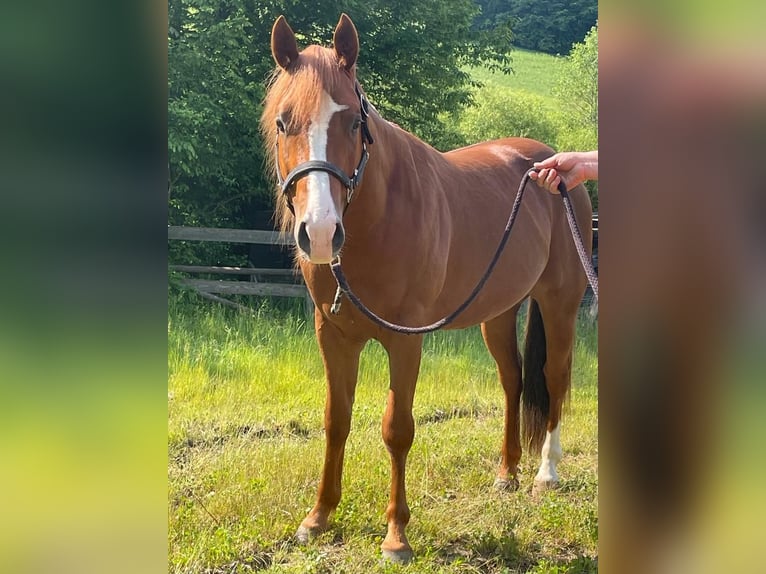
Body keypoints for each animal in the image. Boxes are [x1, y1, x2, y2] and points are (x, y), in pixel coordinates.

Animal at [261, 13, 592, 563]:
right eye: (284, 122)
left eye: (353, 123)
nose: (322, 232)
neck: (378, 221)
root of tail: (552, 166)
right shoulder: (333, 337)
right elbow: (336, 419)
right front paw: (319, 517)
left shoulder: (405, 340)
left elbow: (397, 429)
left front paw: (396, 536)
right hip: (497, 313)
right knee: (513, 380)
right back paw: (507, 473)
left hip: (559, 304)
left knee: (555, 377)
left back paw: (546, 473)